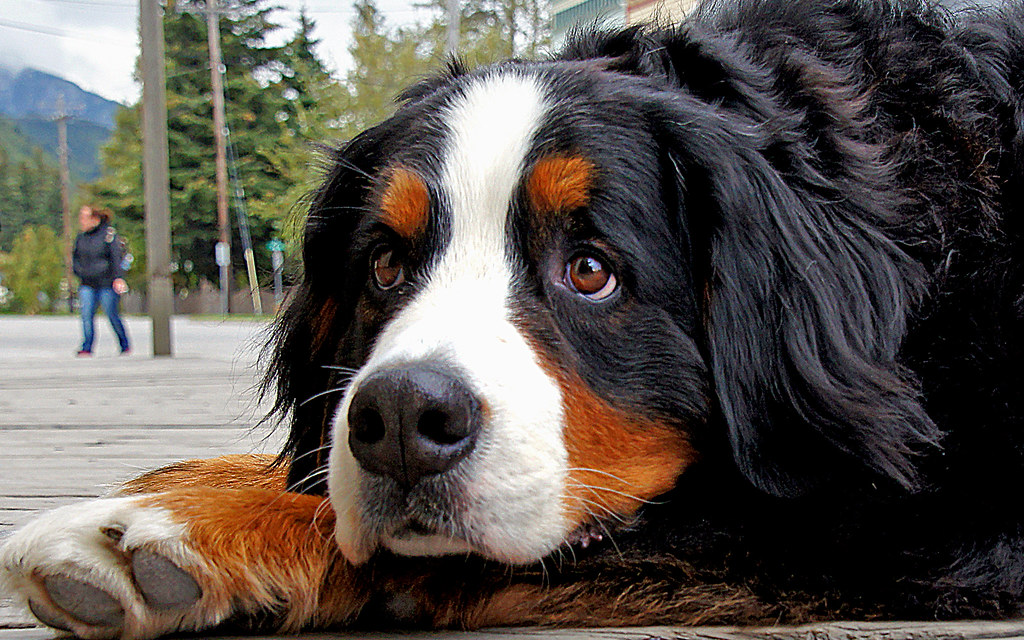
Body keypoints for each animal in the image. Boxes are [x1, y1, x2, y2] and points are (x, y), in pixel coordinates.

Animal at [2, 0, 1024, 634]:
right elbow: (320, 472)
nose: (400, 420)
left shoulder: (901, 515)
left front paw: (160, 532)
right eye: (384, 264)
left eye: (591, 271)